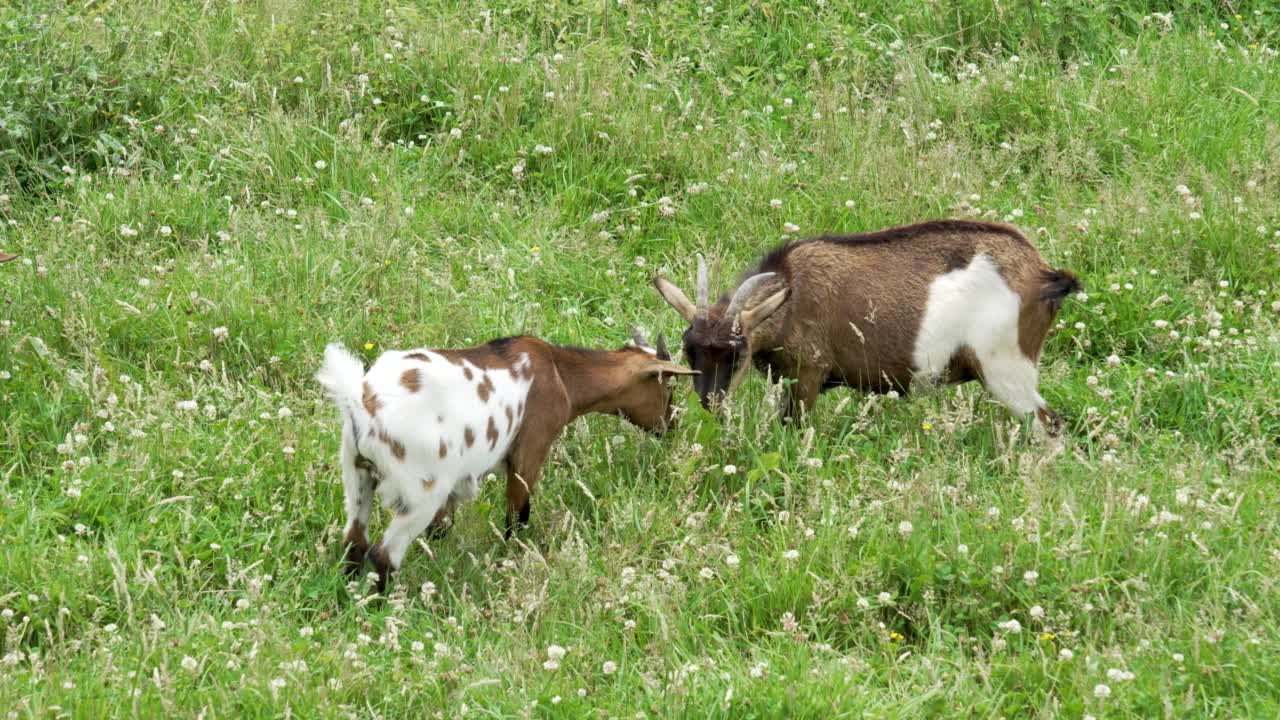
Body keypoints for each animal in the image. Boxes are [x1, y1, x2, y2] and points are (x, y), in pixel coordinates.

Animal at [320, 327, 701, 591]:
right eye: (668, 387)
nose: (672, 426)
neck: (560, 373)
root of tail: (364, 403)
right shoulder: (530, 451)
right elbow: (517, 517)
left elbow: (441, 529)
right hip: (422, 489)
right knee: (383, 554)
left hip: (356, 476)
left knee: (354, 542)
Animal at [650, 219, 1080, 430]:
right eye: (690, 348)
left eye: (736, 352)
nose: (710, 401)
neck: (791, 294)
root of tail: (1043, 273)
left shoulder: (809, 373)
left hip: (1006, 368)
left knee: (1051, 425)